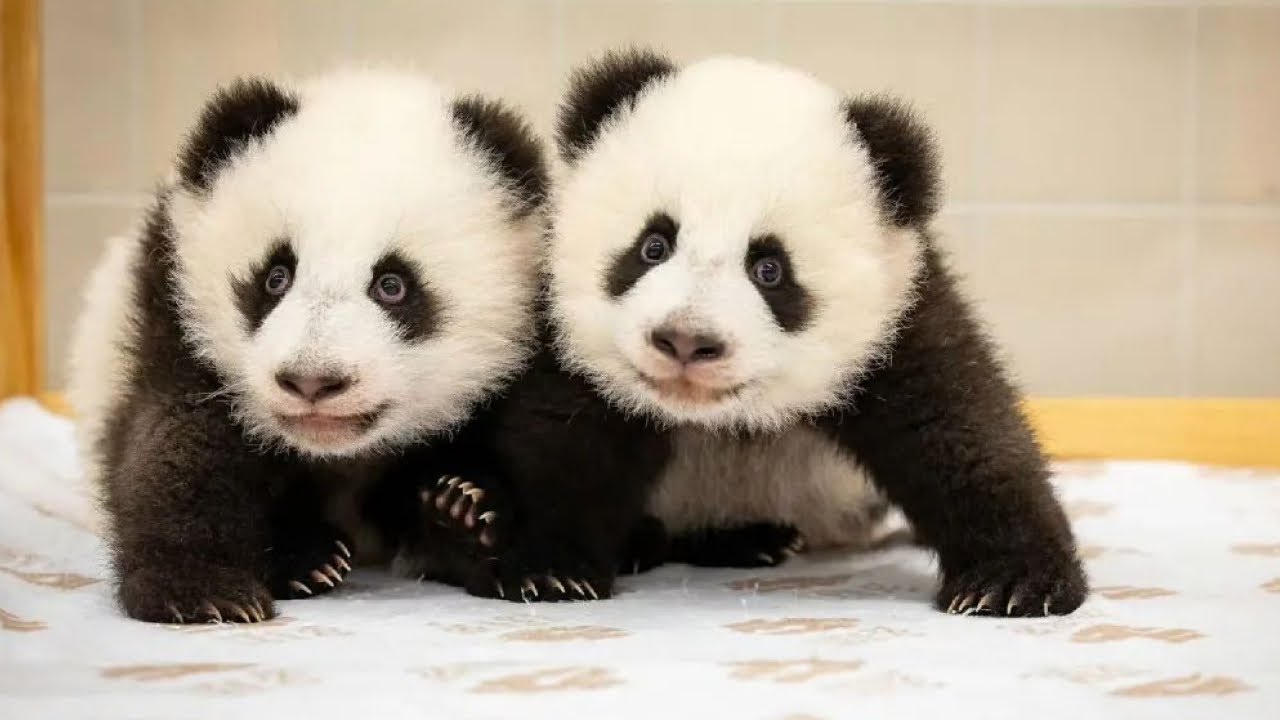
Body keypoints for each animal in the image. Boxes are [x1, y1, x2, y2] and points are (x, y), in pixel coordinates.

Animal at [67, 68, 547, 623]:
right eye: (276, 276)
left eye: (393, 285)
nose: (312, 381)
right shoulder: (173, 304)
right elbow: (180, 437)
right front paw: (201, 591)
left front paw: (467, 511)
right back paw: (306, 557)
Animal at [449, 49, 1087, 617]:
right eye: (653, 245)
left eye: (770, 269)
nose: (686, 342)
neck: (718, 418)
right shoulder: (570, 338)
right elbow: (565, 440)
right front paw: (548, 569)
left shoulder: (897, 321)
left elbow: (961, 429)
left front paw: (1013, 581)